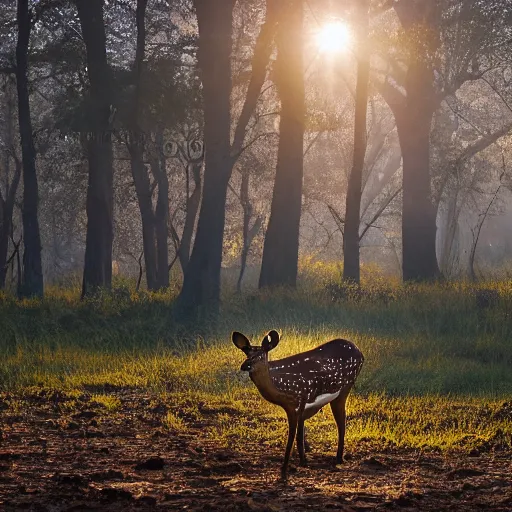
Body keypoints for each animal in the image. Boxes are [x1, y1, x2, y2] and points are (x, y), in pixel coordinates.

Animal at [232, 330, 364, 478]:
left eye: (259, 356)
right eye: (247, 354)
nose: (244, 366)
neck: (280, 388)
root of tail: (360, 352)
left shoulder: (296, 403)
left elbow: (291, 438)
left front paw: (283, 470)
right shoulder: (301, 406)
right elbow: (299, 435)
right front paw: (303, 462)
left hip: (345, 388)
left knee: (342, 422)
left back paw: (339, 459)